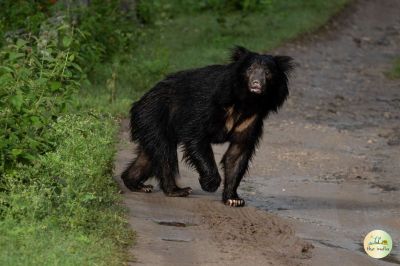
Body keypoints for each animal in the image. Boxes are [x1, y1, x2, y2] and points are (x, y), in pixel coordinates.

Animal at [122, 46, 294, 207]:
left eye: (267, 72)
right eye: (250, 69)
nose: (256, 84)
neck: (248, 101)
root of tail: (139, 103)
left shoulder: (252, 119)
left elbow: (238, 153)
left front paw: (234, 199)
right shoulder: (209, 105)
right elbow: (197, 136)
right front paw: (209, 184)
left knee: (149, 155)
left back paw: (136, 184)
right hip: (154, 117)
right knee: (164, 153)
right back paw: (177, 190)